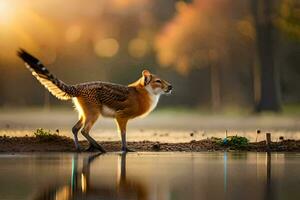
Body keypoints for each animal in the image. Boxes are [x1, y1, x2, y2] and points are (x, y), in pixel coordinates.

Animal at [17, 49, 172, 152]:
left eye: (163, 81)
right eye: (158, 81)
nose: (170, 86)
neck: (142, 93)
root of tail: (77, 86)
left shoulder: (120, 117)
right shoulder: (121, 116)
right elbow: (122, 134)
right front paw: (125, 149)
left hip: (84, 113)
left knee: (75, 129)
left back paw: (81, 148)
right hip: (93, 113)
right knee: (84, 131)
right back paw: (100, 148)